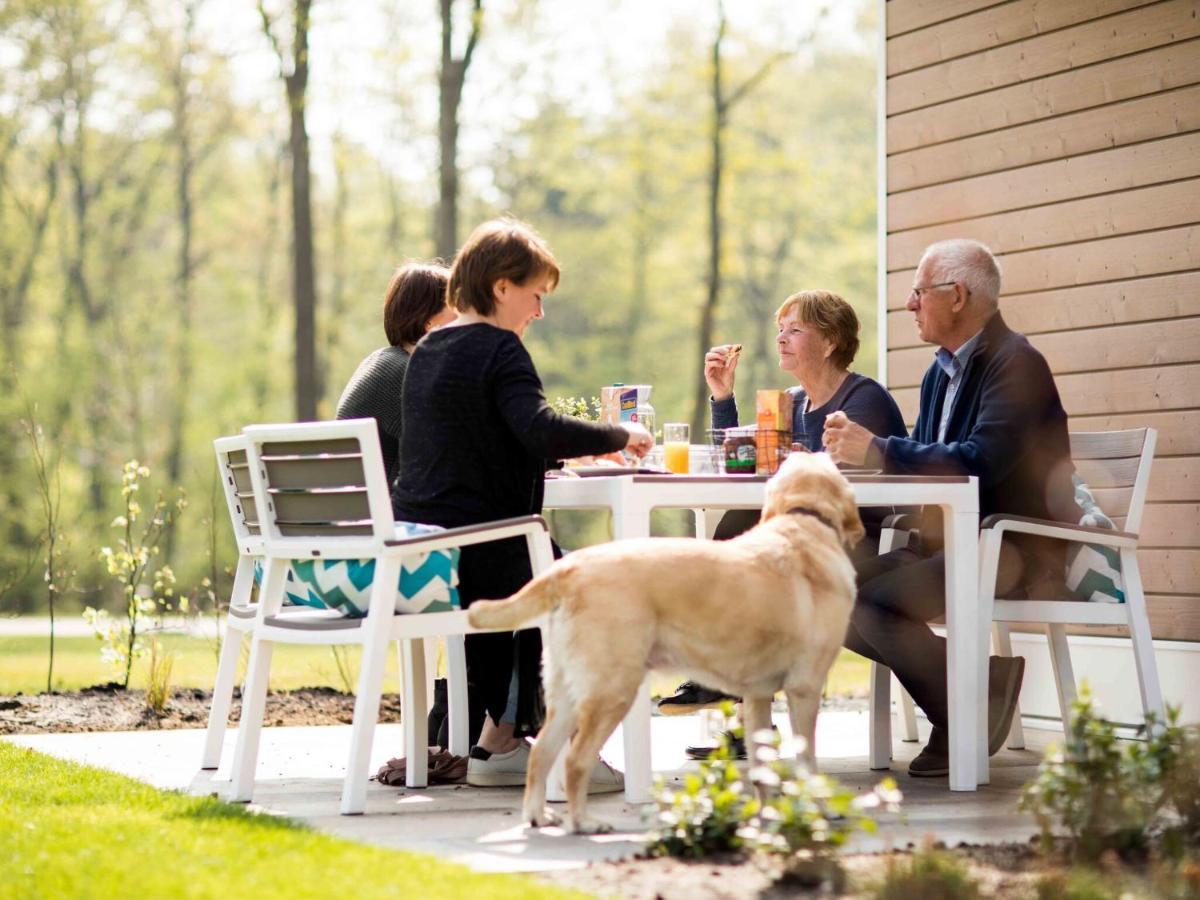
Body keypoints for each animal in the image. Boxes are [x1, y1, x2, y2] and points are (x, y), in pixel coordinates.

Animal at [463, 453, 859, 835]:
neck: (803, 521)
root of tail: (568, 570)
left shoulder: (758, 695)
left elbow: (764, 768)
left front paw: (769, 814)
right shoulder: (805, 688)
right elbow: (807, 761)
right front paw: (820, 810)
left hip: (567, 692)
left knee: (542, 752)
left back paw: (538, 816)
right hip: (613, 690)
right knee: (576, 760)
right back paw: (583, 822)